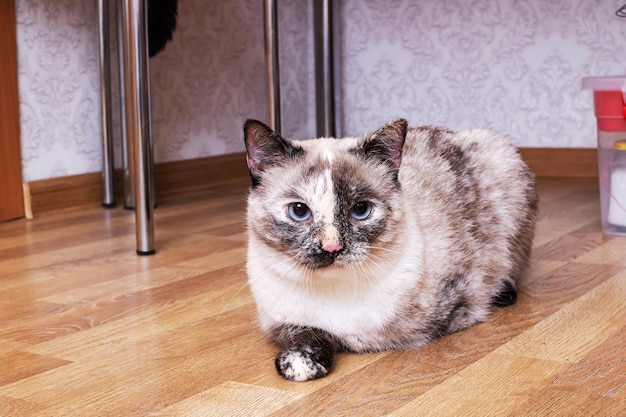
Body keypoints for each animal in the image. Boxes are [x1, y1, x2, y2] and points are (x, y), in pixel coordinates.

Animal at [241, 117, 532, 380]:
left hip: (501, 158)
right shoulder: (278, 320)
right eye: (299, 211)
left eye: (361, 210)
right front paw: (300, 364)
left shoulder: (460, 299)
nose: (333, 247)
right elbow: (307, 334)